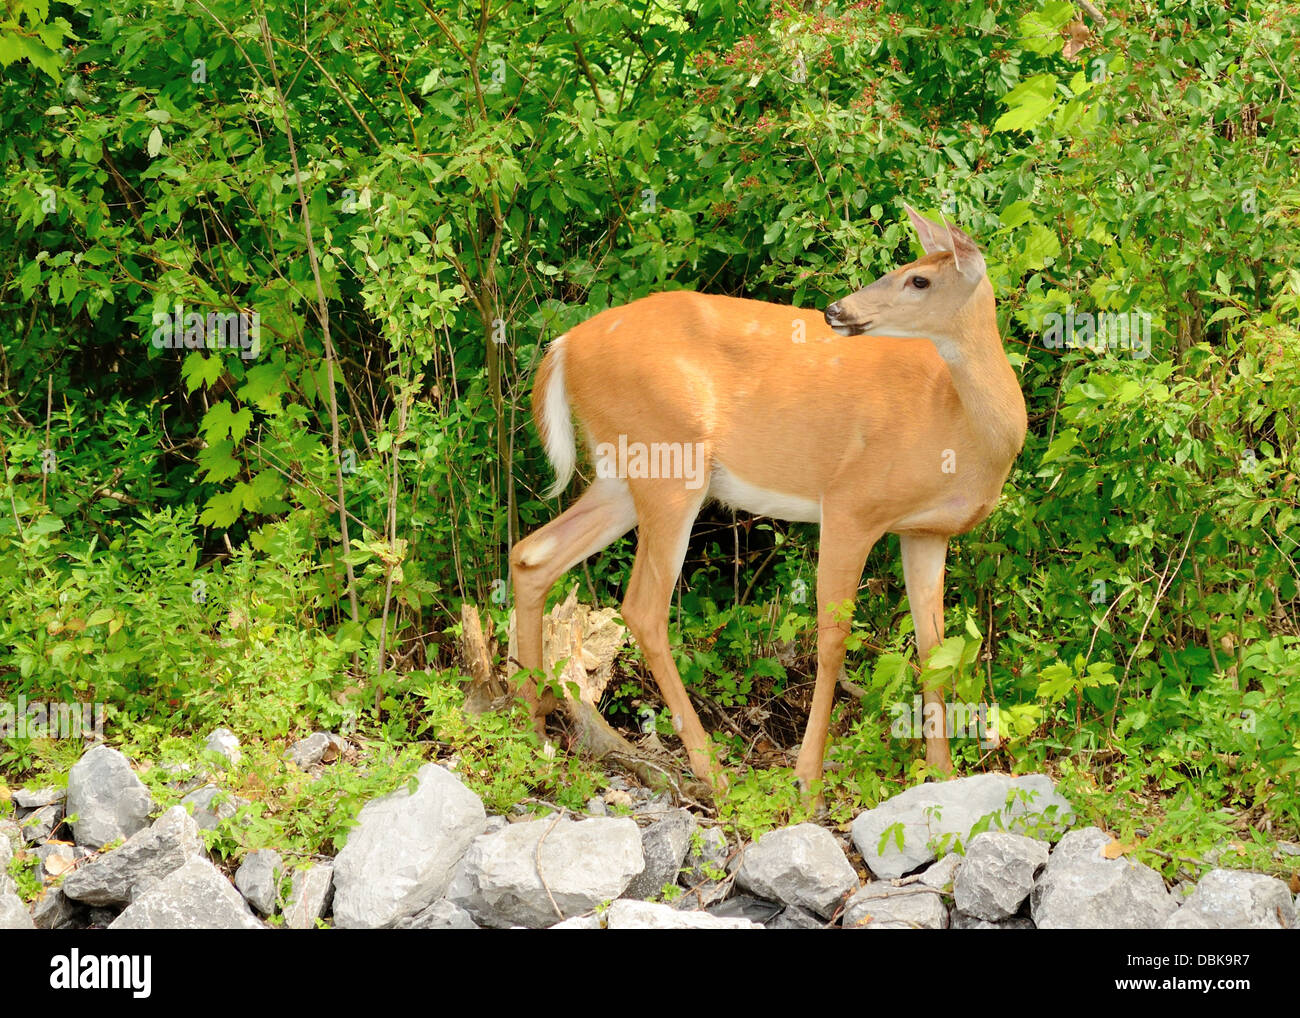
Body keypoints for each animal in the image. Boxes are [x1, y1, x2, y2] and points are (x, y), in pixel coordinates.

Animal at [509, 206, 1027, 799]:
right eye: (902, 269)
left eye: (918, 278)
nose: (836, 311)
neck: (960, 429)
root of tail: (563, 345)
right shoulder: (851, 503)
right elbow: (832, 638)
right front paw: (807, 778)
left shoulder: (925, 530)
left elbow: (932, 648)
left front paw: (941, 774)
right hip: (670, 462)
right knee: (641, 606)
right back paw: (711, 770)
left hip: (621, 476)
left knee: (533, 555)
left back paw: (532, 730)